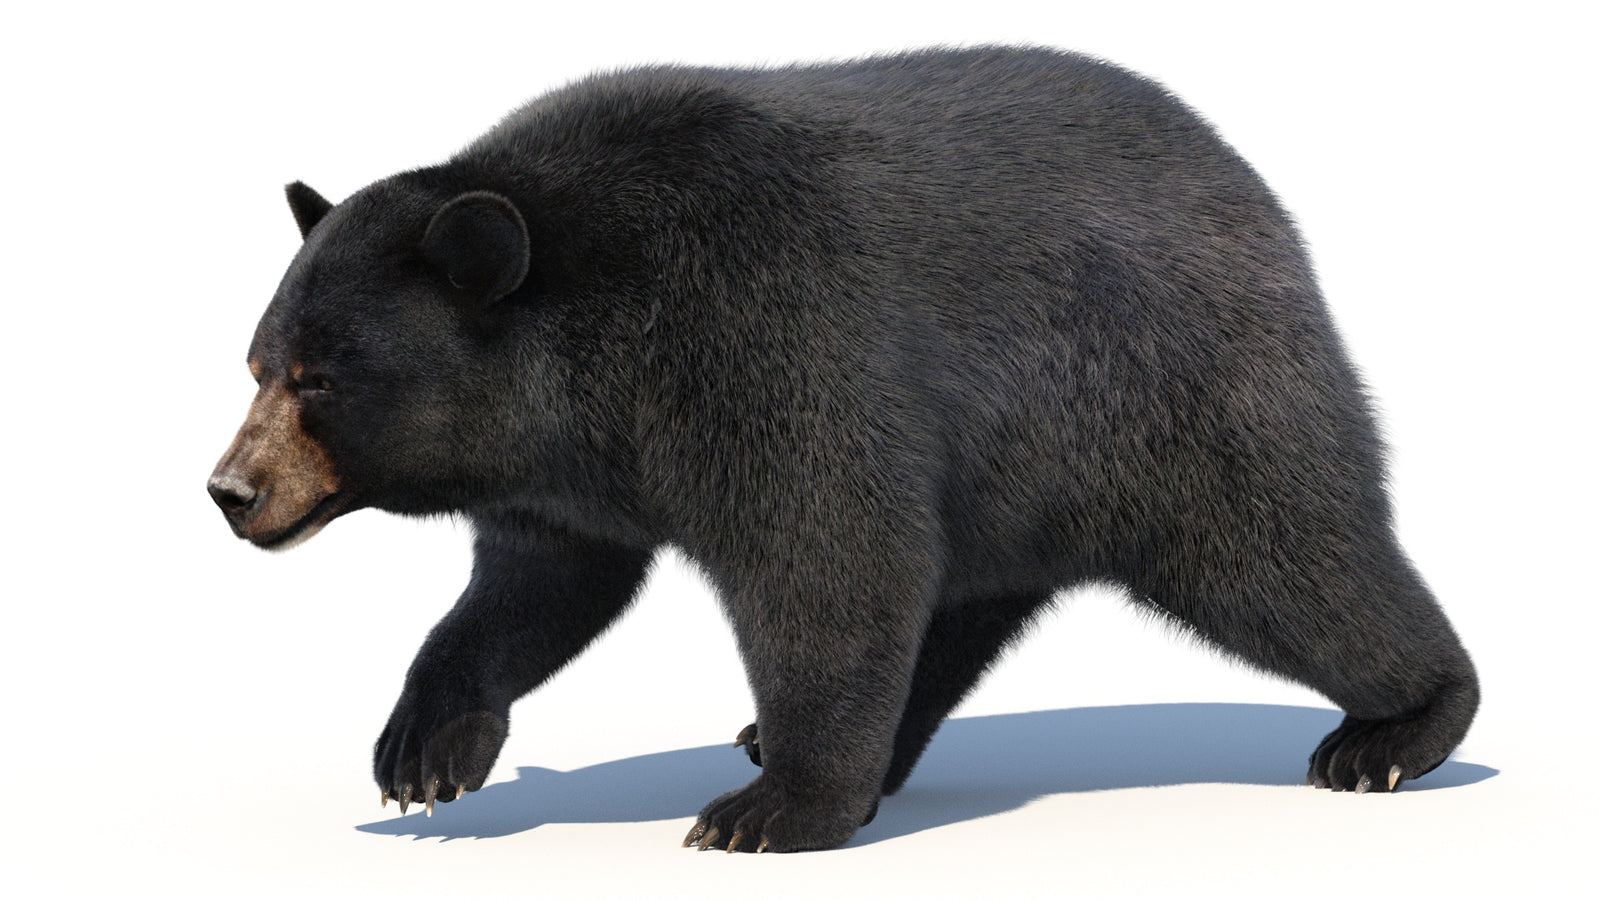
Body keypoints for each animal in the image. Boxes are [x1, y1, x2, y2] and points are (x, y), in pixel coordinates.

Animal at [208, 46, 1479, 853]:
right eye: (258, 361)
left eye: (321, 378)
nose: (231, 490)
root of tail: (1254, 193)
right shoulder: (570, 469)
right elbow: (538, 586)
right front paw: (422, 751)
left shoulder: (764, 338)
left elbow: (826, 557)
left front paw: (772, 815)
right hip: (1016, 477)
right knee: (955, 608)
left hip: (1171, 402)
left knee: (1290, 561)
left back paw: (1395, 729)